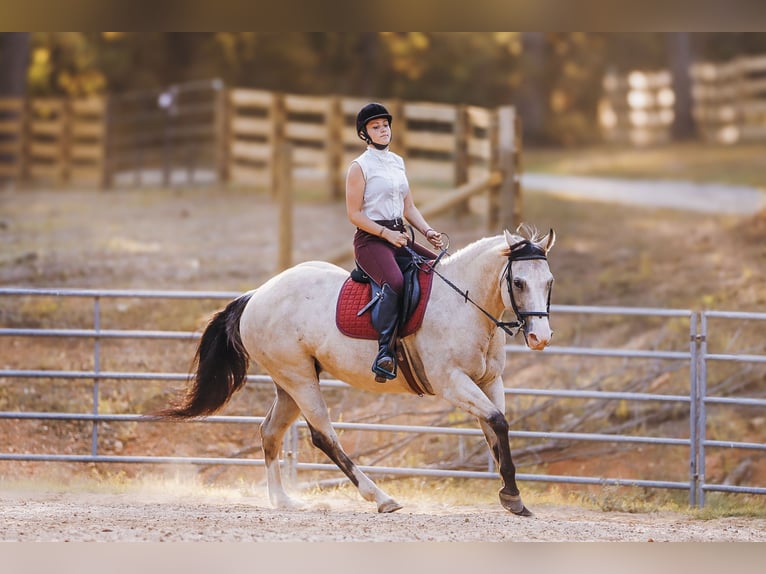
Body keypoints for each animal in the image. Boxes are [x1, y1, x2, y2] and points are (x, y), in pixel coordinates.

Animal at [160, 225, 560, 516]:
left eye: (549, 282)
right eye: (519, 282)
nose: (540, 337)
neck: (465, 304)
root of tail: (255, 295)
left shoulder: (489, 382)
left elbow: (495, 429)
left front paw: (512, 496)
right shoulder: (453, 383)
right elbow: (497, 423)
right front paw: (512, 496)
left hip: (289, 382)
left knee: (270, 432)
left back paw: (283, 501)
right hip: (300, 380)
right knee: (324, 436)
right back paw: (381, 498)